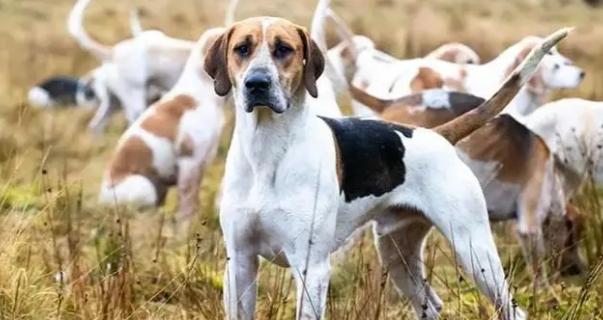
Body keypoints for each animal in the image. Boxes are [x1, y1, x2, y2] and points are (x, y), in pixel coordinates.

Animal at [205, 11, 568, 318]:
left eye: (284, 49)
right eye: (242, 49)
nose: (257, 83)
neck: (267, 151)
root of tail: (437, 135)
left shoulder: (311, 267)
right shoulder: (239, 263)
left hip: (475, 251)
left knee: (512, 310)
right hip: (397, 254)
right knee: (432, 305)